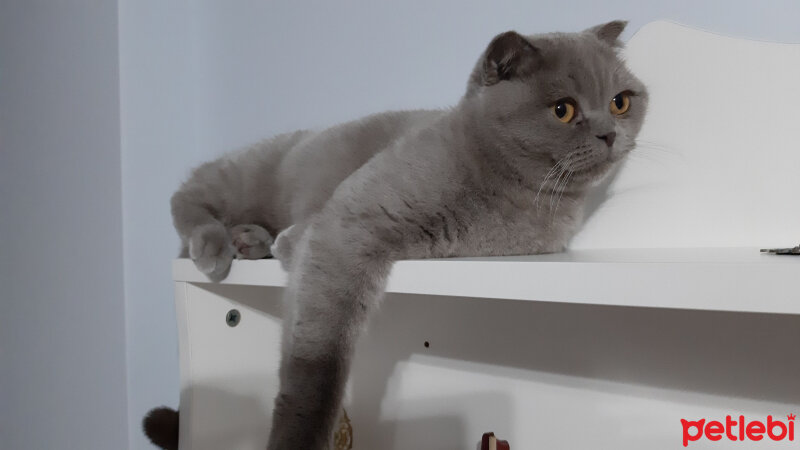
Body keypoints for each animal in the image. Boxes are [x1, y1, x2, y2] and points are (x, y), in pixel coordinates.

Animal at [147, 21, 648, 450]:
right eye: (563, 110)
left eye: (621, 102)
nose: (609, 133)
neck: (514, 195)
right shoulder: (351, 217)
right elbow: (316, 367)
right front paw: (297, 436)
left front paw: (284, 242)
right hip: (248, 175)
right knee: (188, 194)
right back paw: (215, 244)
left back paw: (251, 240)